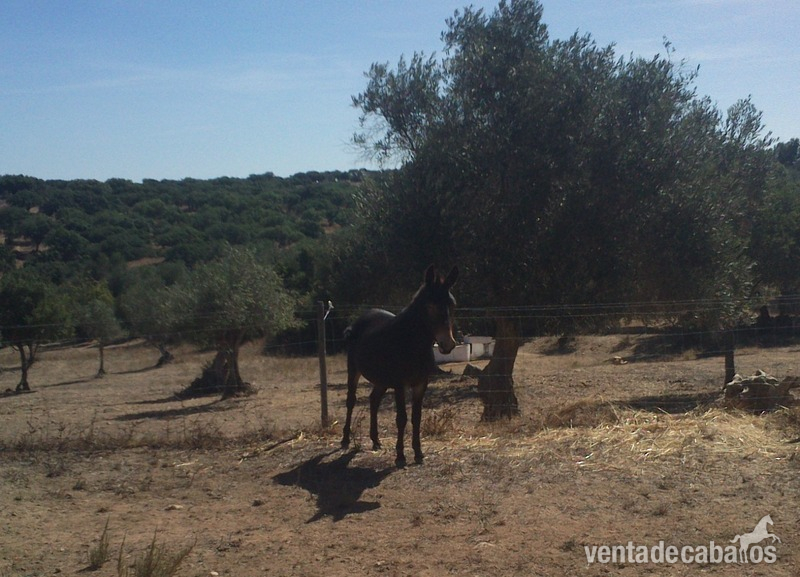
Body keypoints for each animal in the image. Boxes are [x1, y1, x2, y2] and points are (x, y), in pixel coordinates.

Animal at [341, 265, 459, 467]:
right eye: (430, 306)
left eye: (452, 305)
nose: (448, 344)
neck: (411, 343)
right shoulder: (399, 385)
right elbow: (401, 418)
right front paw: (400, 456)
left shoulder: (421, 384)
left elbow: (416, 418)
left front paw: (418, 453)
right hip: (354, 371)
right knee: (351, 401)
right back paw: (346, 440)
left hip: (381, 380)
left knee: (373, 400)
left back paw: (375, 440)